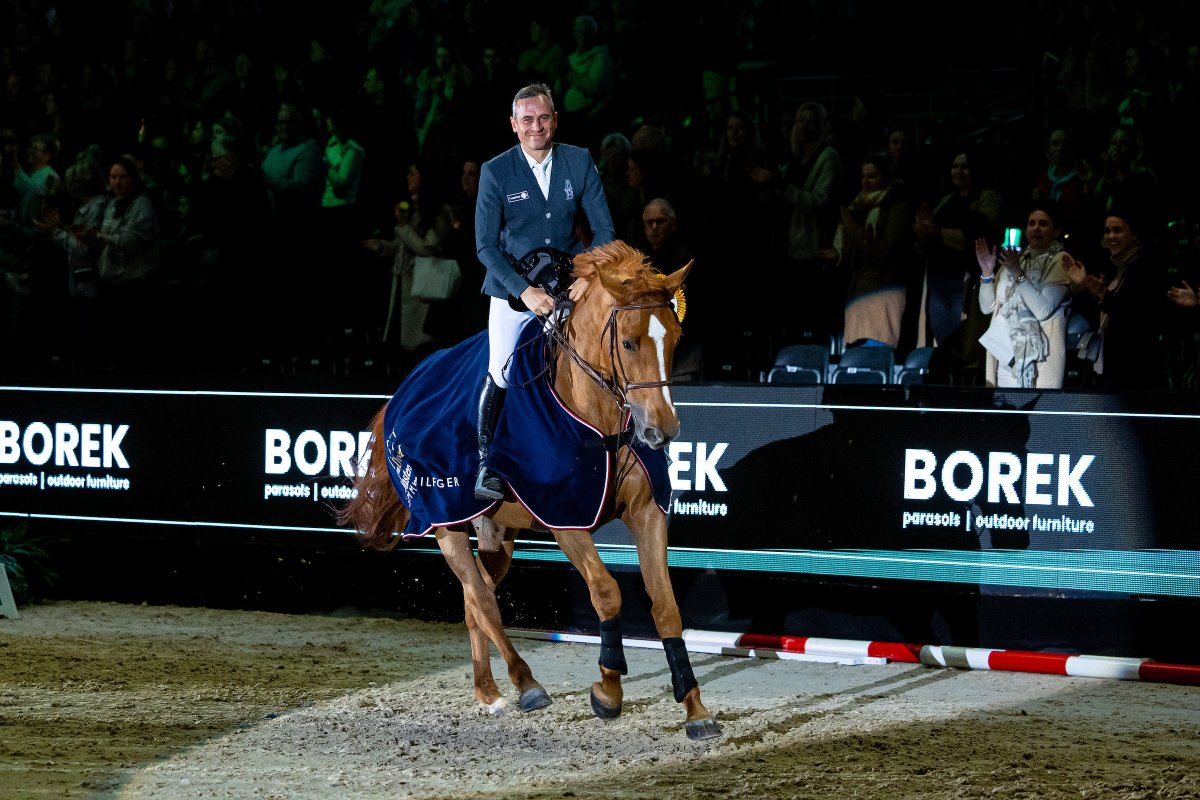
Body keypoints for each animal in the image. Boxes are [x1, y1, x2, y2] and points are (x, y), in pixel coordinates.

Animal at [340, 240, 720, 740]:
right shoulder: (566, 520)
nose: (662, 431)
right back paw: (525, 685)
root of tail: (403, 390)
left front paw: (696, 710)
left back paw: (487, 691)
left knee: (474, 598)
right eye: (628, 342)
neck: (598, 421)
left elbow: (666, 605)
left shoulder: (646, 512)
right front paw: (608, 692)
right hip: (444, 522)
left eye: (674, 340)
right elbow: (606, 592)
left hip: (494, 531)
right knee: (483, 600)